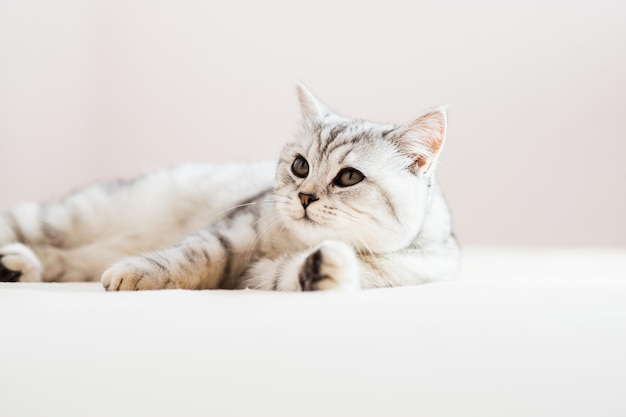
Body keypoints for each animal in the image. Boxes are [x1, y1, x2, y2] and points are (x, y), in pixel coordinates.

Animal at [0, 83, 458, 290]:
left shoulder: (264, 276)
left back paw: (17, 267)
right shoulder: (234, 232)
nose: (304, 196)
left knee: (61, 261)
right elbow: (191, 257)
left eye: (349, 177)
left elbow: (305, 273)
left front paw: (326, 265)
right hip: (68, 216)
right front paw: (132, 273)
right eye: (300, 166)